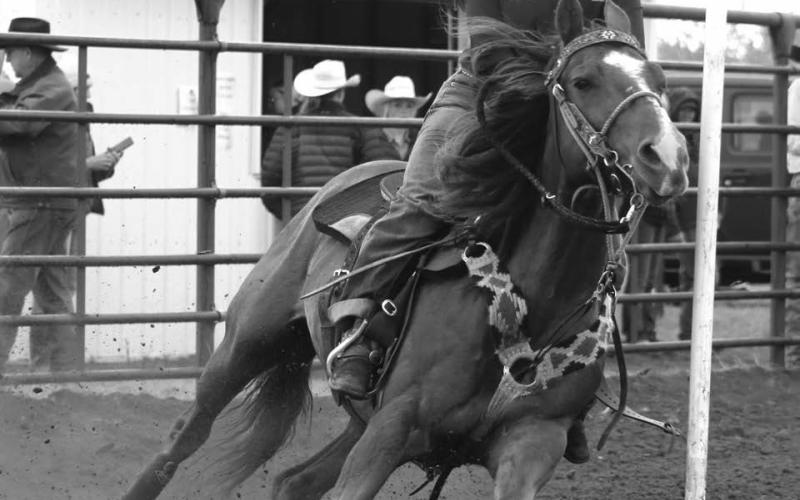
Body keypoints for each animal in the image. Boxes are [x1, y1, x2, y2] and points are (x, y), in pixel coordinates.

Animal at [123, 1, 688, 498]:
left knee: (294, 481)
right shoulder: (390, 429)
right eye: (583, 81)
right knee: (183, 439)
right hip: (249, 342)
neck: (532, 296)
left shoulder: (533, 441)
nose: (668, 157)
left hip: (352, 416)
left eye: (659, 82)